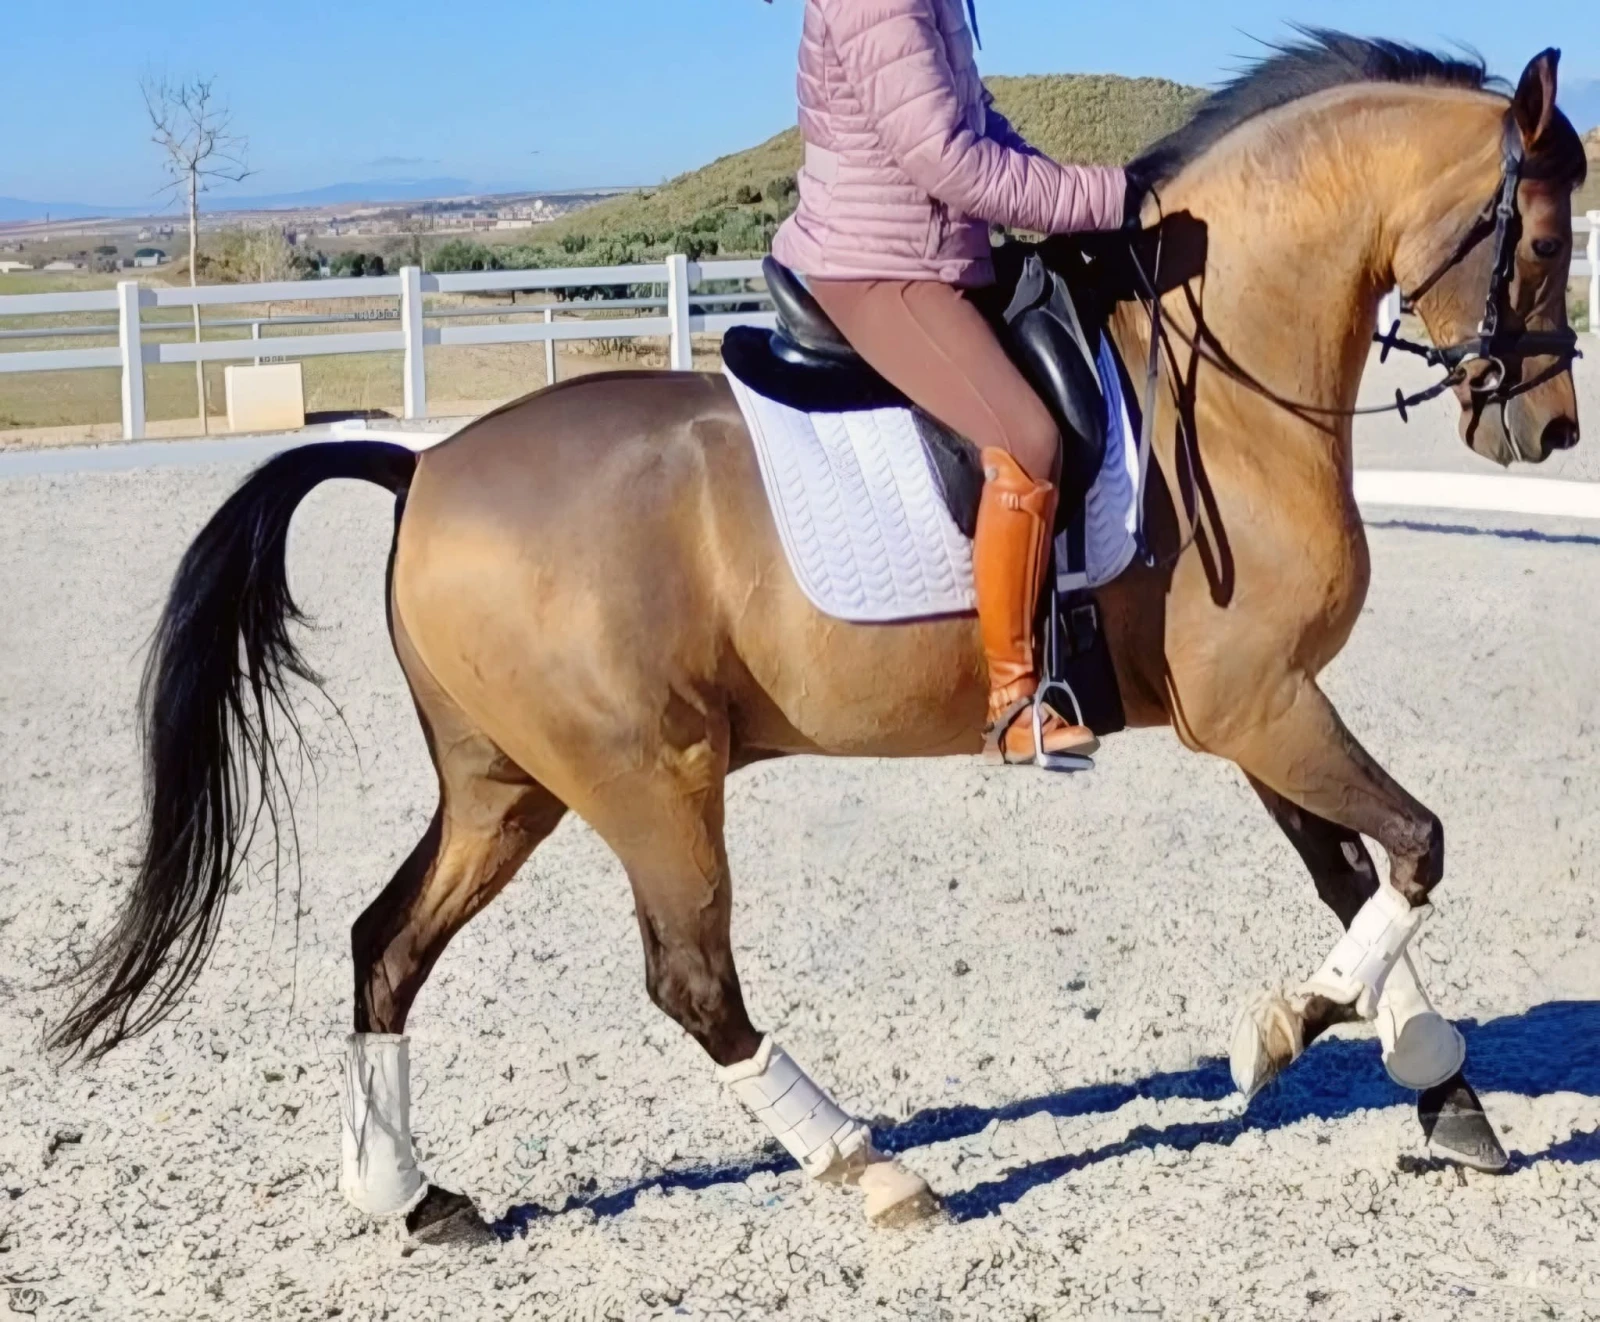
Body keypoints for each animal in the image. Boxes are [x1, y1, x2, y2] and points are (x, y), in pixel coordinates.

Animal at [52, 35, 1586, 1242]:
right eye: (1546, 238)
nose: (1551, 429)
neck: (1210, 373)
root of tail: (421, 469)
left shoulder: (1258, 709)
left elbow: (1355, 880)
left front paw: (1442, 1089)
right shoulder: (1263, 701)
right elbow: (1417, 849)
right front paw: (1288, 1032)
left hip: (507, 784)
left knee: (387, 944)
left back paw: (412, 1197)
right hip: (649, 778)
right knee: (690, 980)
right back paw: (870, 1170)